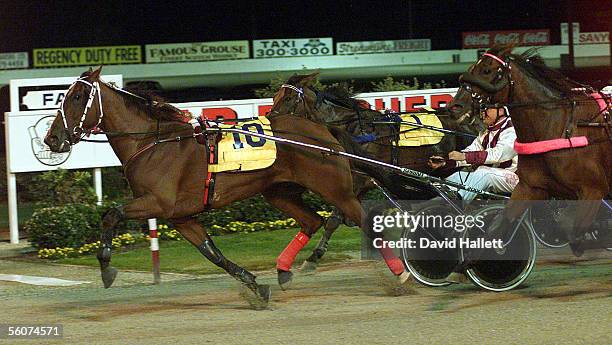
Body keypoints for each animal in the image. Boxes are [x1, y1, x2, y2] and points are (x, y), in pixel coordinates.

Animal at [43, 66, 412, 306]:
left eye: (77, 97)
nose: (52, 138)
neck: (153, 142)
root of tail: (322, 130)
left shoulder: (157, 202)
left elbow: (111, 214)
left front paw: (106, 267)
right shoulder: (181, 216)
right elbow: (212, 253)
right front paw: (255, 287)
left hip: (337, 189)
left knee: (361, 222)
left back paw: (401, 276)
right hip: (278, 191)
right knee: (312, 221)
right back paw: (284, 271)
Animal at [268, 73, 482, 268]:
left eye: (288, 98)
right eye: (275, 97)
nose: (269, 121)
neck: (356, 131)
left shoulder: (357, 182)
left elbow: (335, 219)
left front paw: (314, 256)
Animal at [448, 45, 608, 255]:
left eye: (486, 70)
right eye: (472, 67)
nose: (454, 107)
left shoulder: (593, 190)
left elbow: (573, 233)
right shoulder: (530, 187)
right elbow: (497, 229)